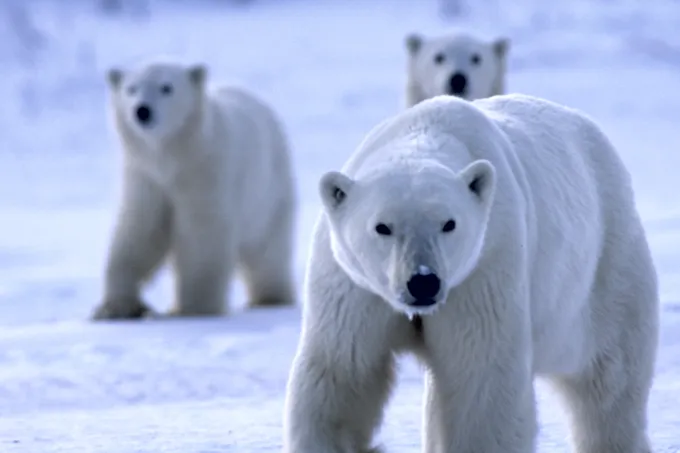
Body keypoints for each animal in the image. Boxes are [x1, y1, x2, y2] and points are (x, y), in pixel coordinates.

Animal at [92, 60, 297, 320]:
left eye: (166, 87)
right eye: (131, 89)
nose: (142, 111)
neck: (174, 156)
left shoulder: (205, 172)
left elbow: (202, 236)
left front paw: (195, 309)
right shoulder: (145, 178)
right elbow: (140, 231)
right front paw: (117, 307)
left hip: (268, 192)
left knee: (267, 249)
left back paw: (270, 298)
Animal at [283, 94, 659, 453]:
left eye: (449, 223)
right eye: (382, 227)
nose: (423, 282)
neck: (426, 132)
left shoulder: (484, 269)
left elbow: (481, 382)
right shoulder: (355, 289)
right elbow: (343, 374)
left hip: (599, 272)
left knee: (610, 376)